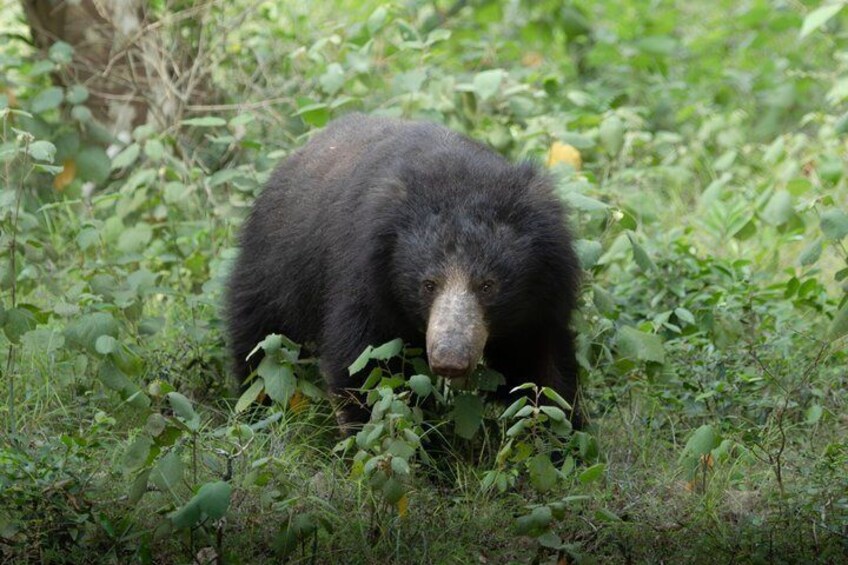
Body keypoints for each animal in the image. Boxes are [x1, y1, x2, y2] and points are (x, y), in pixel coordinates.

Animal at [226, 114, 583, 429]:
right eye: (428, 284)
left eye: (487, 286)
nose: (449, 359)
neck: (459, 178)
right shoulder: (365, 279)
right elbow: (365, 364)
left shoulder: (543, 293)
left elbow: (539, 369)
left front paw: (559, 438)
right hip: (276, 265)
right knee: (259, 339)